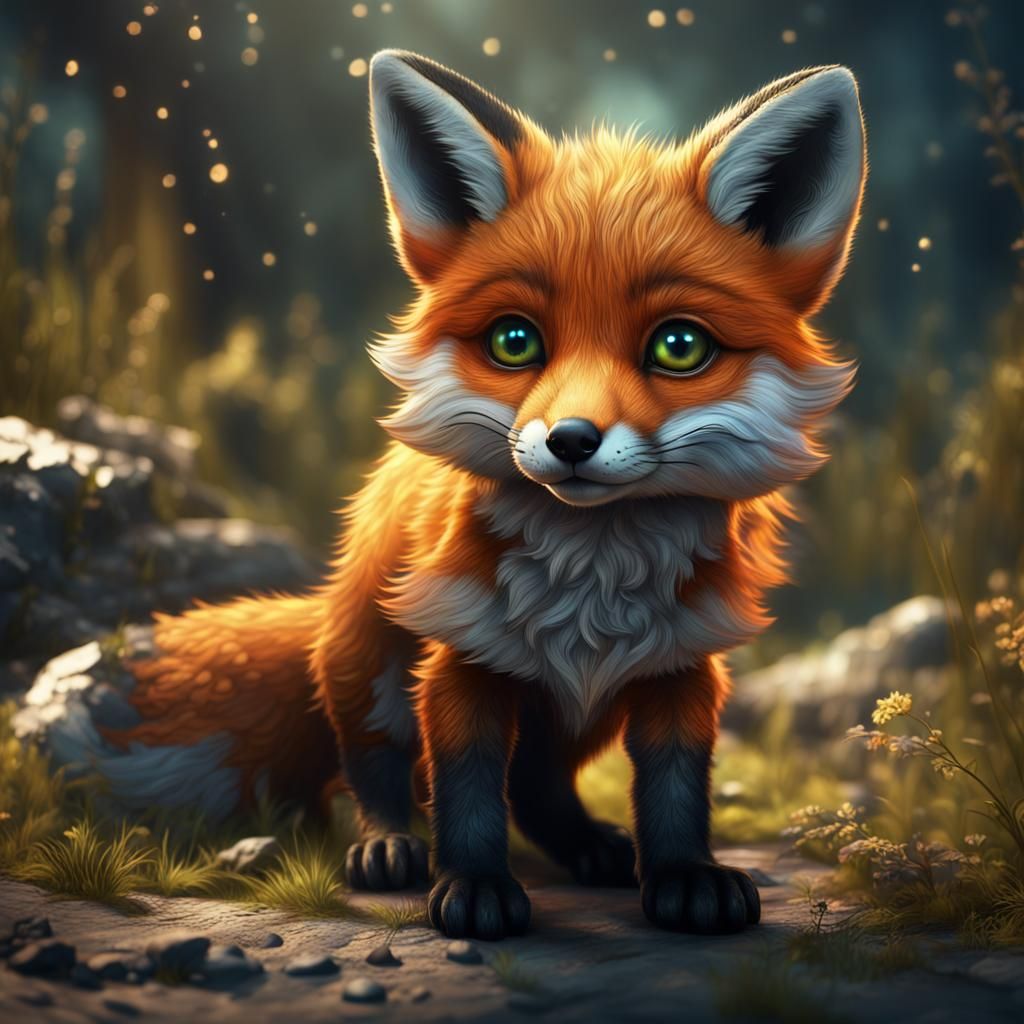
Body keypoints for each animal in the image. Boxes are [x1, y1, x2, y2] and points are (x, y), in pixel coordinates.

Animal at [93, 51, 866, 940]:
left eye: (678, 346)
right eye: (514, 340)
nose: (572, 440)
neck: (591, 580)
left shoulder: (680, 665)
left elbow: (675, 788)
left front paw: (684, 875)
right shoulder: (460, 659)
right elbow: (463, 789)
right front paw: (472, 888)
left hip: (581, 713)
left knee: (536, 787)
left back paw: (591, 846)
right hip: (368, 667)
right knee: (372, 773)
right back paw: (387, 846)